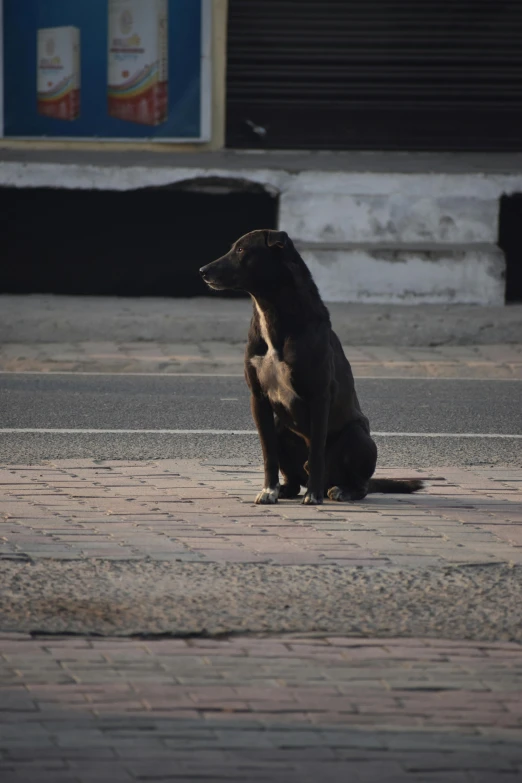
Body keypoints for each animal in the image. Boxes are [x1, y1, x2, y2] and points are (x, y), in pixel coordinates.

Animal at [199, 230, 422, 506]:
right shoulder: (258, 398)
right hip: (280, 427)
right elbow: (268, 454)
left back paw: (341, 490)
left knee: (360, 483)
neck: (271, 311)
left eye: (241, 250)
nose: (202, 271)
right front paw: (269, 490)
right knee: (293, 476)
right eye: (233, 248)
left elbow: (316, 452)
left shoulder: (319, 397)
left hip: (358, 438)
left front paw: (313, 495)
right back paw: (285, 489)